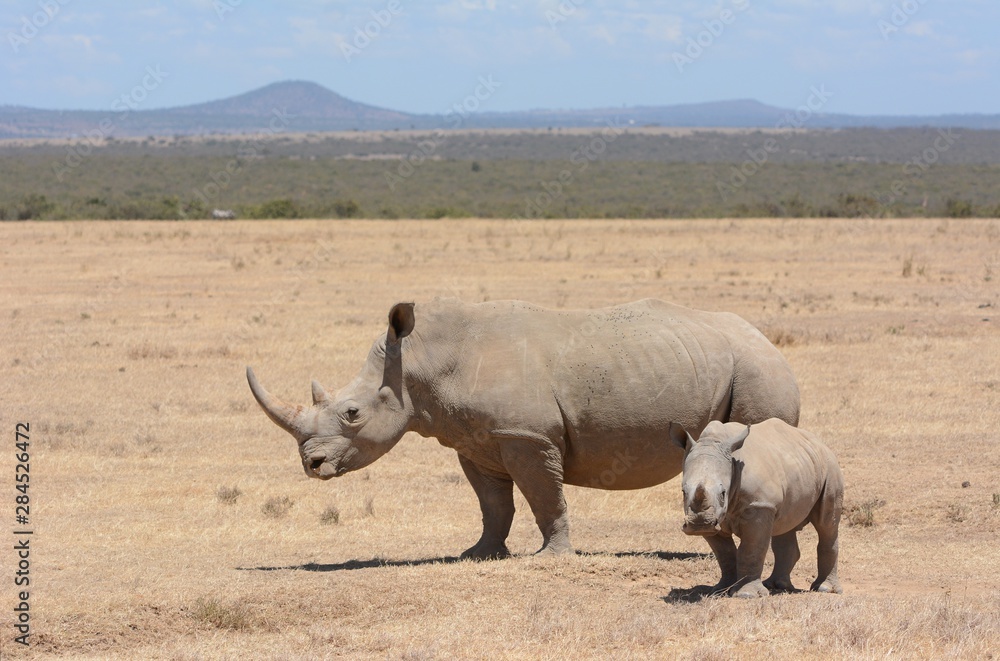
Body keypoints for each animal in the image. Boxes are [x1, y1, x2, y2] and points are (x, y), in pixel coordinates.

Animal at [247, 298, 800, 559]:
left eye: (352, 414)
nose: (312, 465)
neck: (422, 362)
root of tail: (769, 341)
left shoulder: (527, 436)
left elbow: (543, 496)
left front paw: (552, 556)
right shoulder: (476, 440)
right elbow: (494, 504)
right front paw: (478, 554)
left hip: (756, 368)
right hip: (737, 361)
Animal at [670, 418, 843, 598]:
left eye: (723, 493)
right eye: (683, 492)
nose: (699, 524)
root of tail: (821, 444)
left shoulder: (760, 505)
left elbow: (751, 548)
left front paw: (746, 595)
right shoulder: (716, 518)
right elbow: (724, 553)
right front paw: (721, 590)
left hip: (830, 467)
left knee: (826, 525)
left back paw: (825, 589)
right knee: (785, 524)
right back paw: (777, 585)